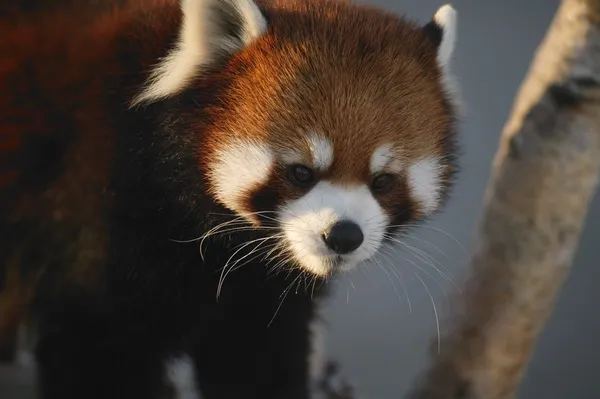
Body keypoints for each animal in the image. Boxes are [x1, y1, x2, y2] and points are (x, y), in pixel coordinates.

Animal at [0, 0, 462, 398]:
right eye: (301, 172)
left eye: (382, 181)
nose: (344, 236)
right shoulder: (94, 213)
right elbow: (94, 354)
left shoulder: (261, 299)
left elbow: (255, 364)